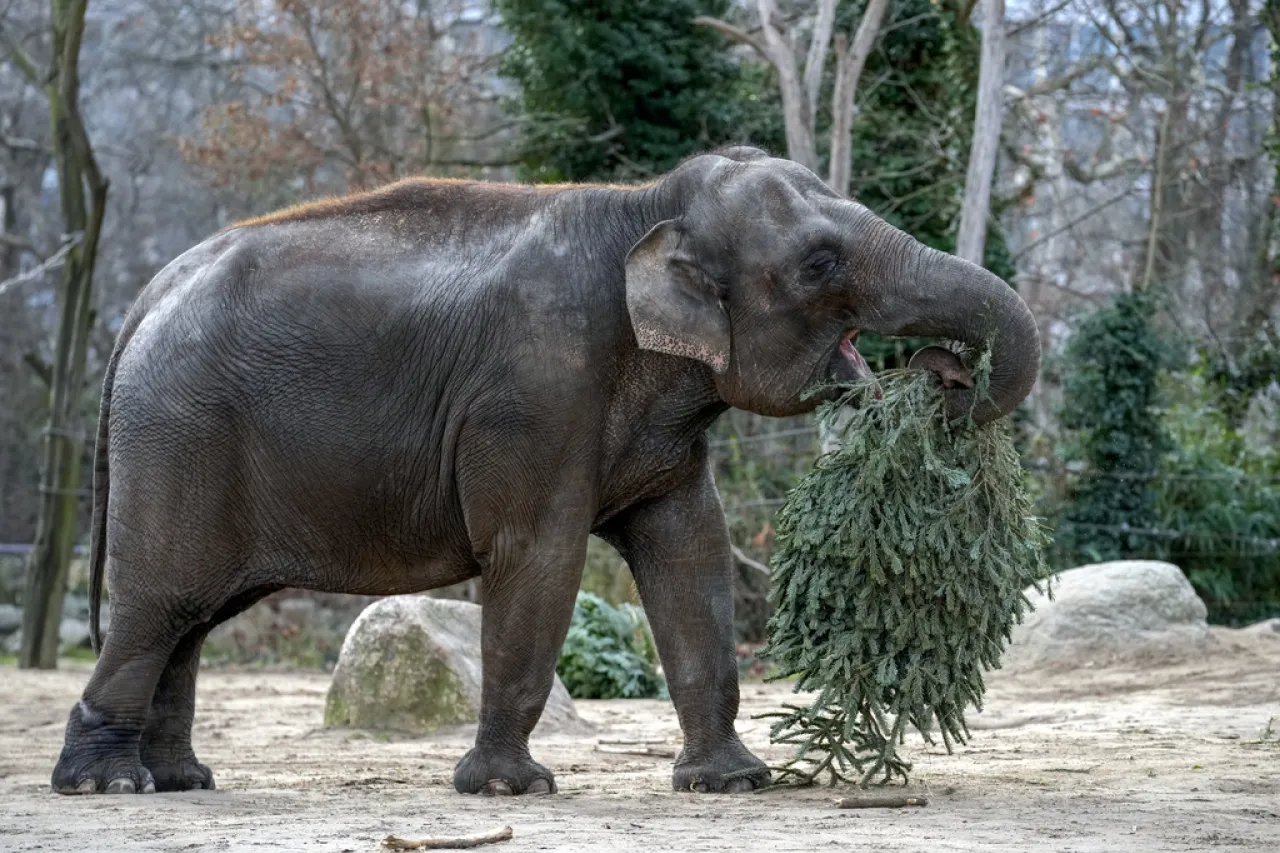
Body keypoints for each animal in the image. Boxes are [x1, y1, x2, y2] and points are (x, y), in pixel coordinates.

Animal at [49, 144, 1039, 799]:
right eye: (820, 262)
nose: (946, 375)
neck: (645, 205)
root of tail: (147, 297)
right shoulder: (536, 390)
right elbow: (540, 557)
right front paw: (508, 789)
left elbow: (692, 555)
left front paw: (731, 783)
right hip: (179, 436)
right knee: (161, 604)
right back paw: (108, 787)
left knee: (191, 618)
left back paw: (182, 779)